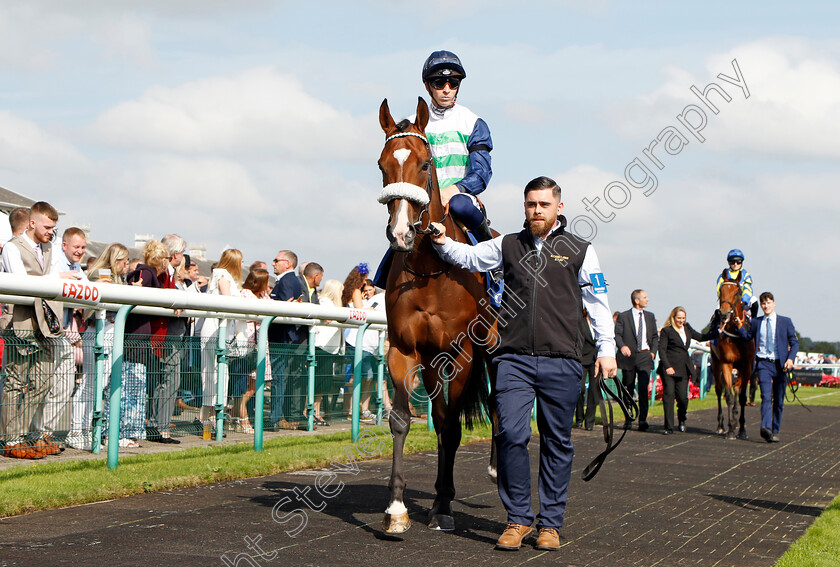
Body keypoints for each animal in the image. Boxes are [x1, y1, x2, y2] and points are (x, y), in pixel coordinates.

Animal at [376, 98, 498, 536]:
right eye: (382, 165)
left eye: (426, 163)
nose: (401, 233)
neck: (432, 270)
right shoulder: (404, 348)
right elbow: (402, 419)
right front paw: (396, 509)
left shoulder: (462, 354)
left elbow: (451, 426)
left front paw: (443, 505)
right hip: (431, 362)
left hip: (492, 350)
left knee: (495, 405)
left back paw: (496, 469)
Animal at [708, 270, 756, 440]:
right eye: (721, 291)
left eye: (737, 292)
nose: (723, 313)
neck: (736, 334)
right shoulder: (726, 363)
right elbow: (727, 396)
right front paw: (729, 430)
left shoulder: (747, 366)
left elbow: (741, 397)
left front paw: (741, 429)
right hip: (715, 363)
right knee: (719, 390)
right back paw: (721, 426)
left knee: (737, 390)